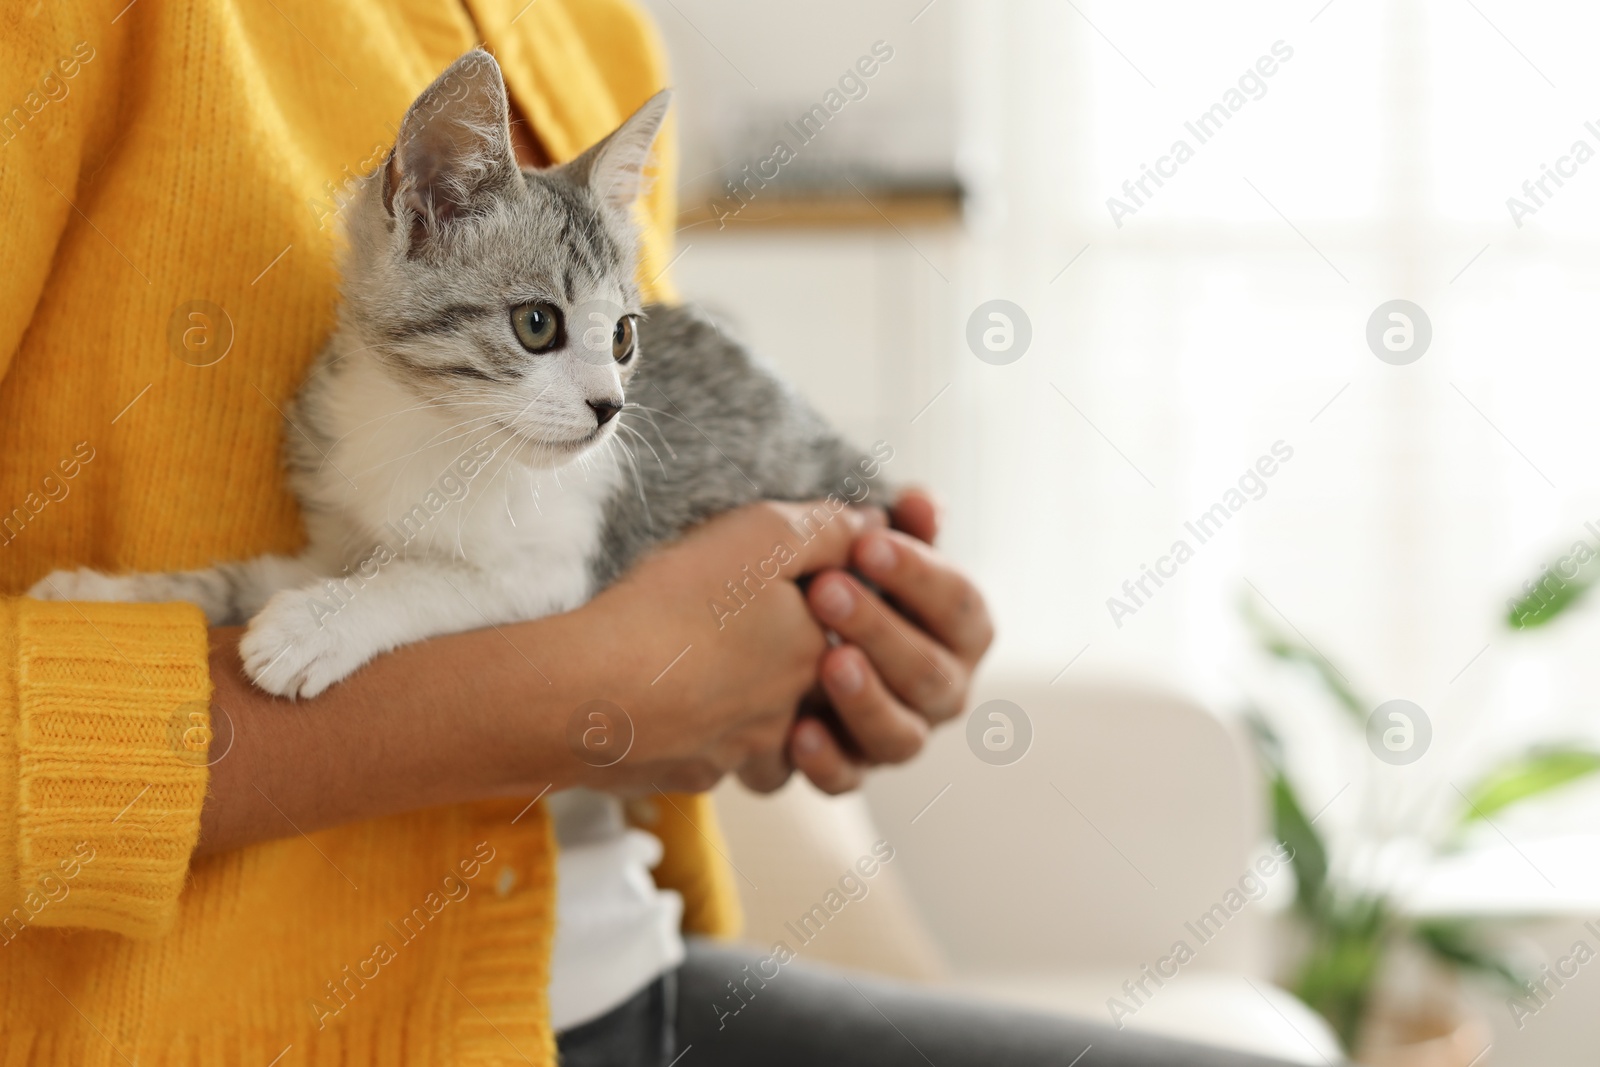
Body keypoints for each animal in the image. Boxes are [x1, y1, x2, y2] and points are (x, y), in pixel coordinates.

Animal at [31, 51, 889, 700]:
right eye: (537, 324)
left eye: (621, 336)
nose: (609, 408)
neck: (426, 423)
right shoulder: (336, 530)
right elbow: (248, 576)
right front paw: (113, 598)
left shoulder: (556, 565)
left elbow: (431, 577)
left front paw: (319, 623)